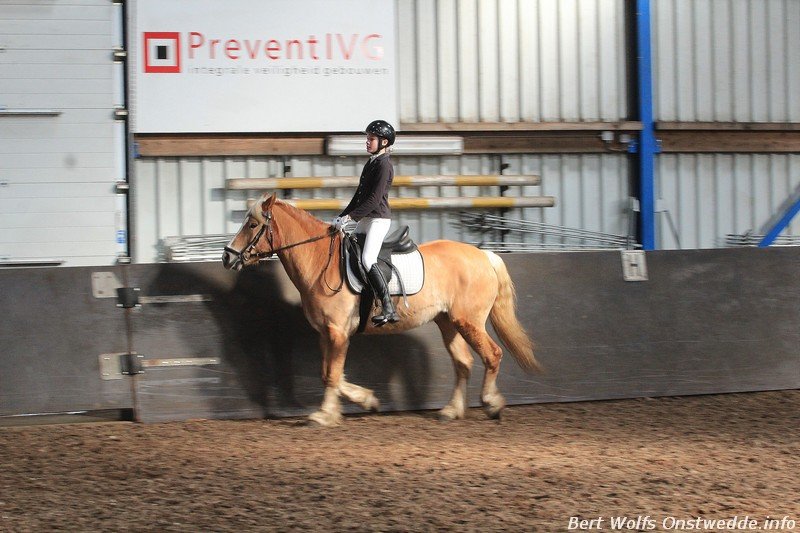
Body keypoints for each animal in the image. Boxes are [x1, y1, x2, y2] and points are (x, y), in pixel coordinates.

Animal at [222, 192, 541, 426]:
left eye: (252, 225)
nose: (227, 257)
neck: (319, 260)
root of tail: (484, 255)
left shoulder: (338, 332)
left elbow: (332, 375)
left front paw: (324, 415)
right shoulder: (326, 333)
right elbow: (329, 373)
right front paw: (365, 400)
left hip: (469, 321)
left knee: (492, 354)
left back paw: (491, 404)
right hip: (449, 322)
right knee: (463, 363)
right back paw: (451, 411)